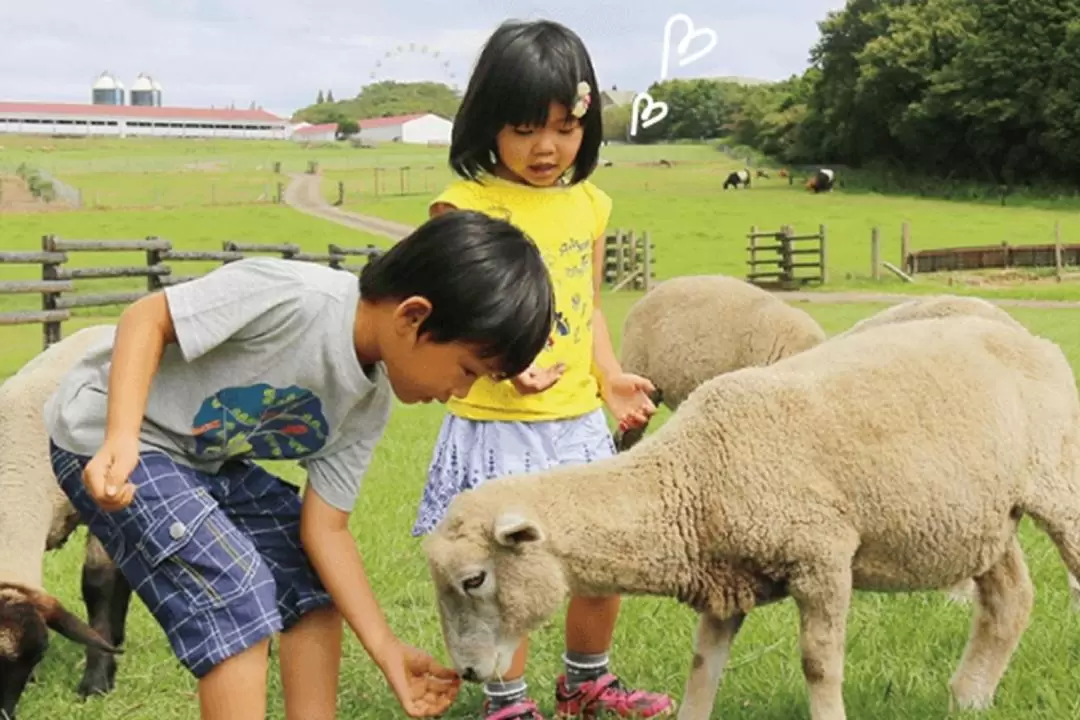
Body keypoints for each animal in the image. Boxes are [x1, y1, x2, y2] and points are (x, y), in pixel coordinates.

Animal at [425, 315, 1080, 720]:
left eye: (475, 579)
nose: (468, 672)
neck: (689, 478)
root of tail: (1032, 340)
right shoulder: (725, 584)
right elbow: (701, 670)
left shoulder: (822, 558)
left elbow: (819, 666)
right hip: (983, 518)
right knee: (1009, 600)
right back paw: (969, 698)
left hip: (1060, 484)